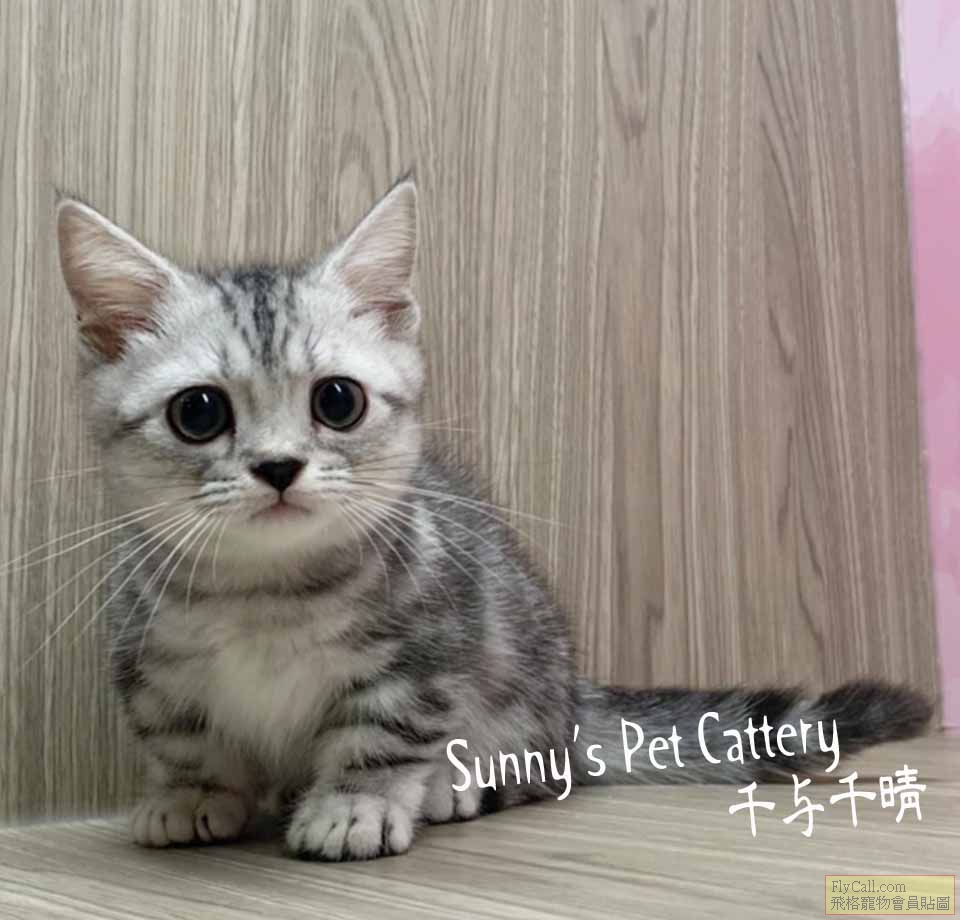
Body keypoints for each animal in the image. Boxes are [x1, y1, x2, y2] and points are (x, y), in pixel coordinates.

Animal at [54, 179, 932, 861]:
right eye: (199, 413)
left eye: (337, 401)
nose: (277, 467)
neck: (264, 595)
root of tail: (576, 702)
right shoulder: (151, 664)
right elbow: (182, 736)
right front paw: (191, 794)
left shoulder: (425, 656)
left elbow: (379, 736)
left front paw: (353, 806)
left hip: (526, 691)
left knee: (545, 774)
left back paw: (454, 788)